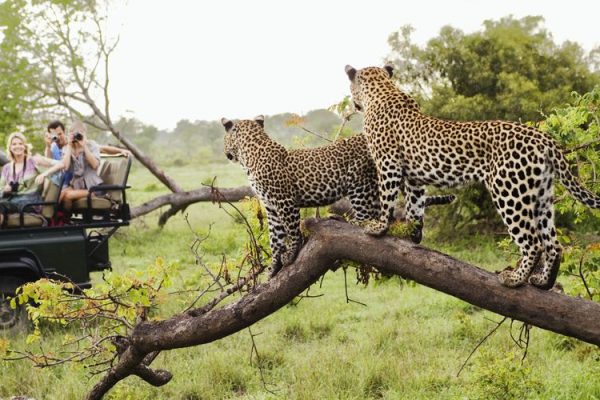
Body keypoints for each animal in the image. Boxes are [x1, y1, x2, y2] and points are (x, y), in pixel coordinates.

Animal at [221, 115, 454, 276]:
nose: (226, 154)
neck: (250, 155)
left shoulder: (284, 201)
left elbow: (292, 231)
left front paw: (291, 253)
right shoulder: (270, 207)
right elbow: (275, 238)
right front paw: (273, 267)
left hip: (359, 183)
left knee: (367, 217)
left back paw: (345, 220)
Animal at [342, 65, 600, 290]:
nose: (354, 104)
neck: (382, 90)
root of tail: (544, 138)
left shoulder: (388, 164)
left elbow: (387, 198)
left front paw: (379, 227)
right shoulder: (414, 178)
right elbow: (415, 205)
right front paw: (413, 234)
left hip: (509, 191)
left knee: (533, 242)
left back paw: (515, 279)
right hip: (541, 195)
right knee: (554, 244)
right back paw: (543, 282)